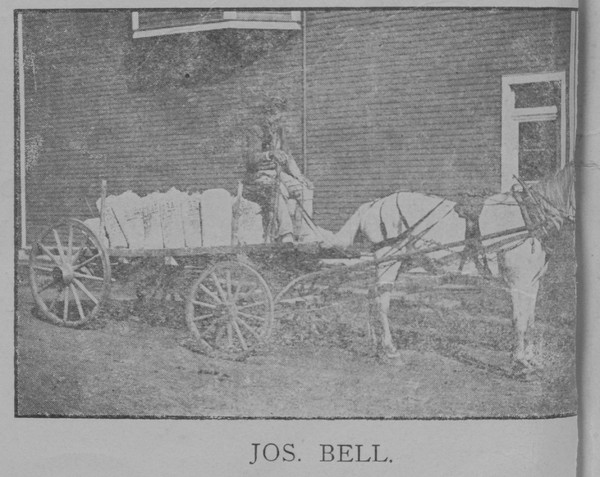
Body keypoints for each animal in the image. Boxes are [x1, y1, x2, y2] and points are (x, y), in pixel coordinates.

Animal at [331, 164, 575, 371]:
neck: (531, 215)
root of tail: (373, 204)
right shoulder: (518, 283)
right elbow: (519, 320)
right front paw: (519, 363)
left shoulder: (532, 283)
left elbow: (531, 321)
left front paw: (531, 360)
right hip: (387, 261)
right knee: (381, 302)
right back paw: (391, 351)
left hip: (397, 263)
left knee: (372, 295)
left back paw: (376, 346)